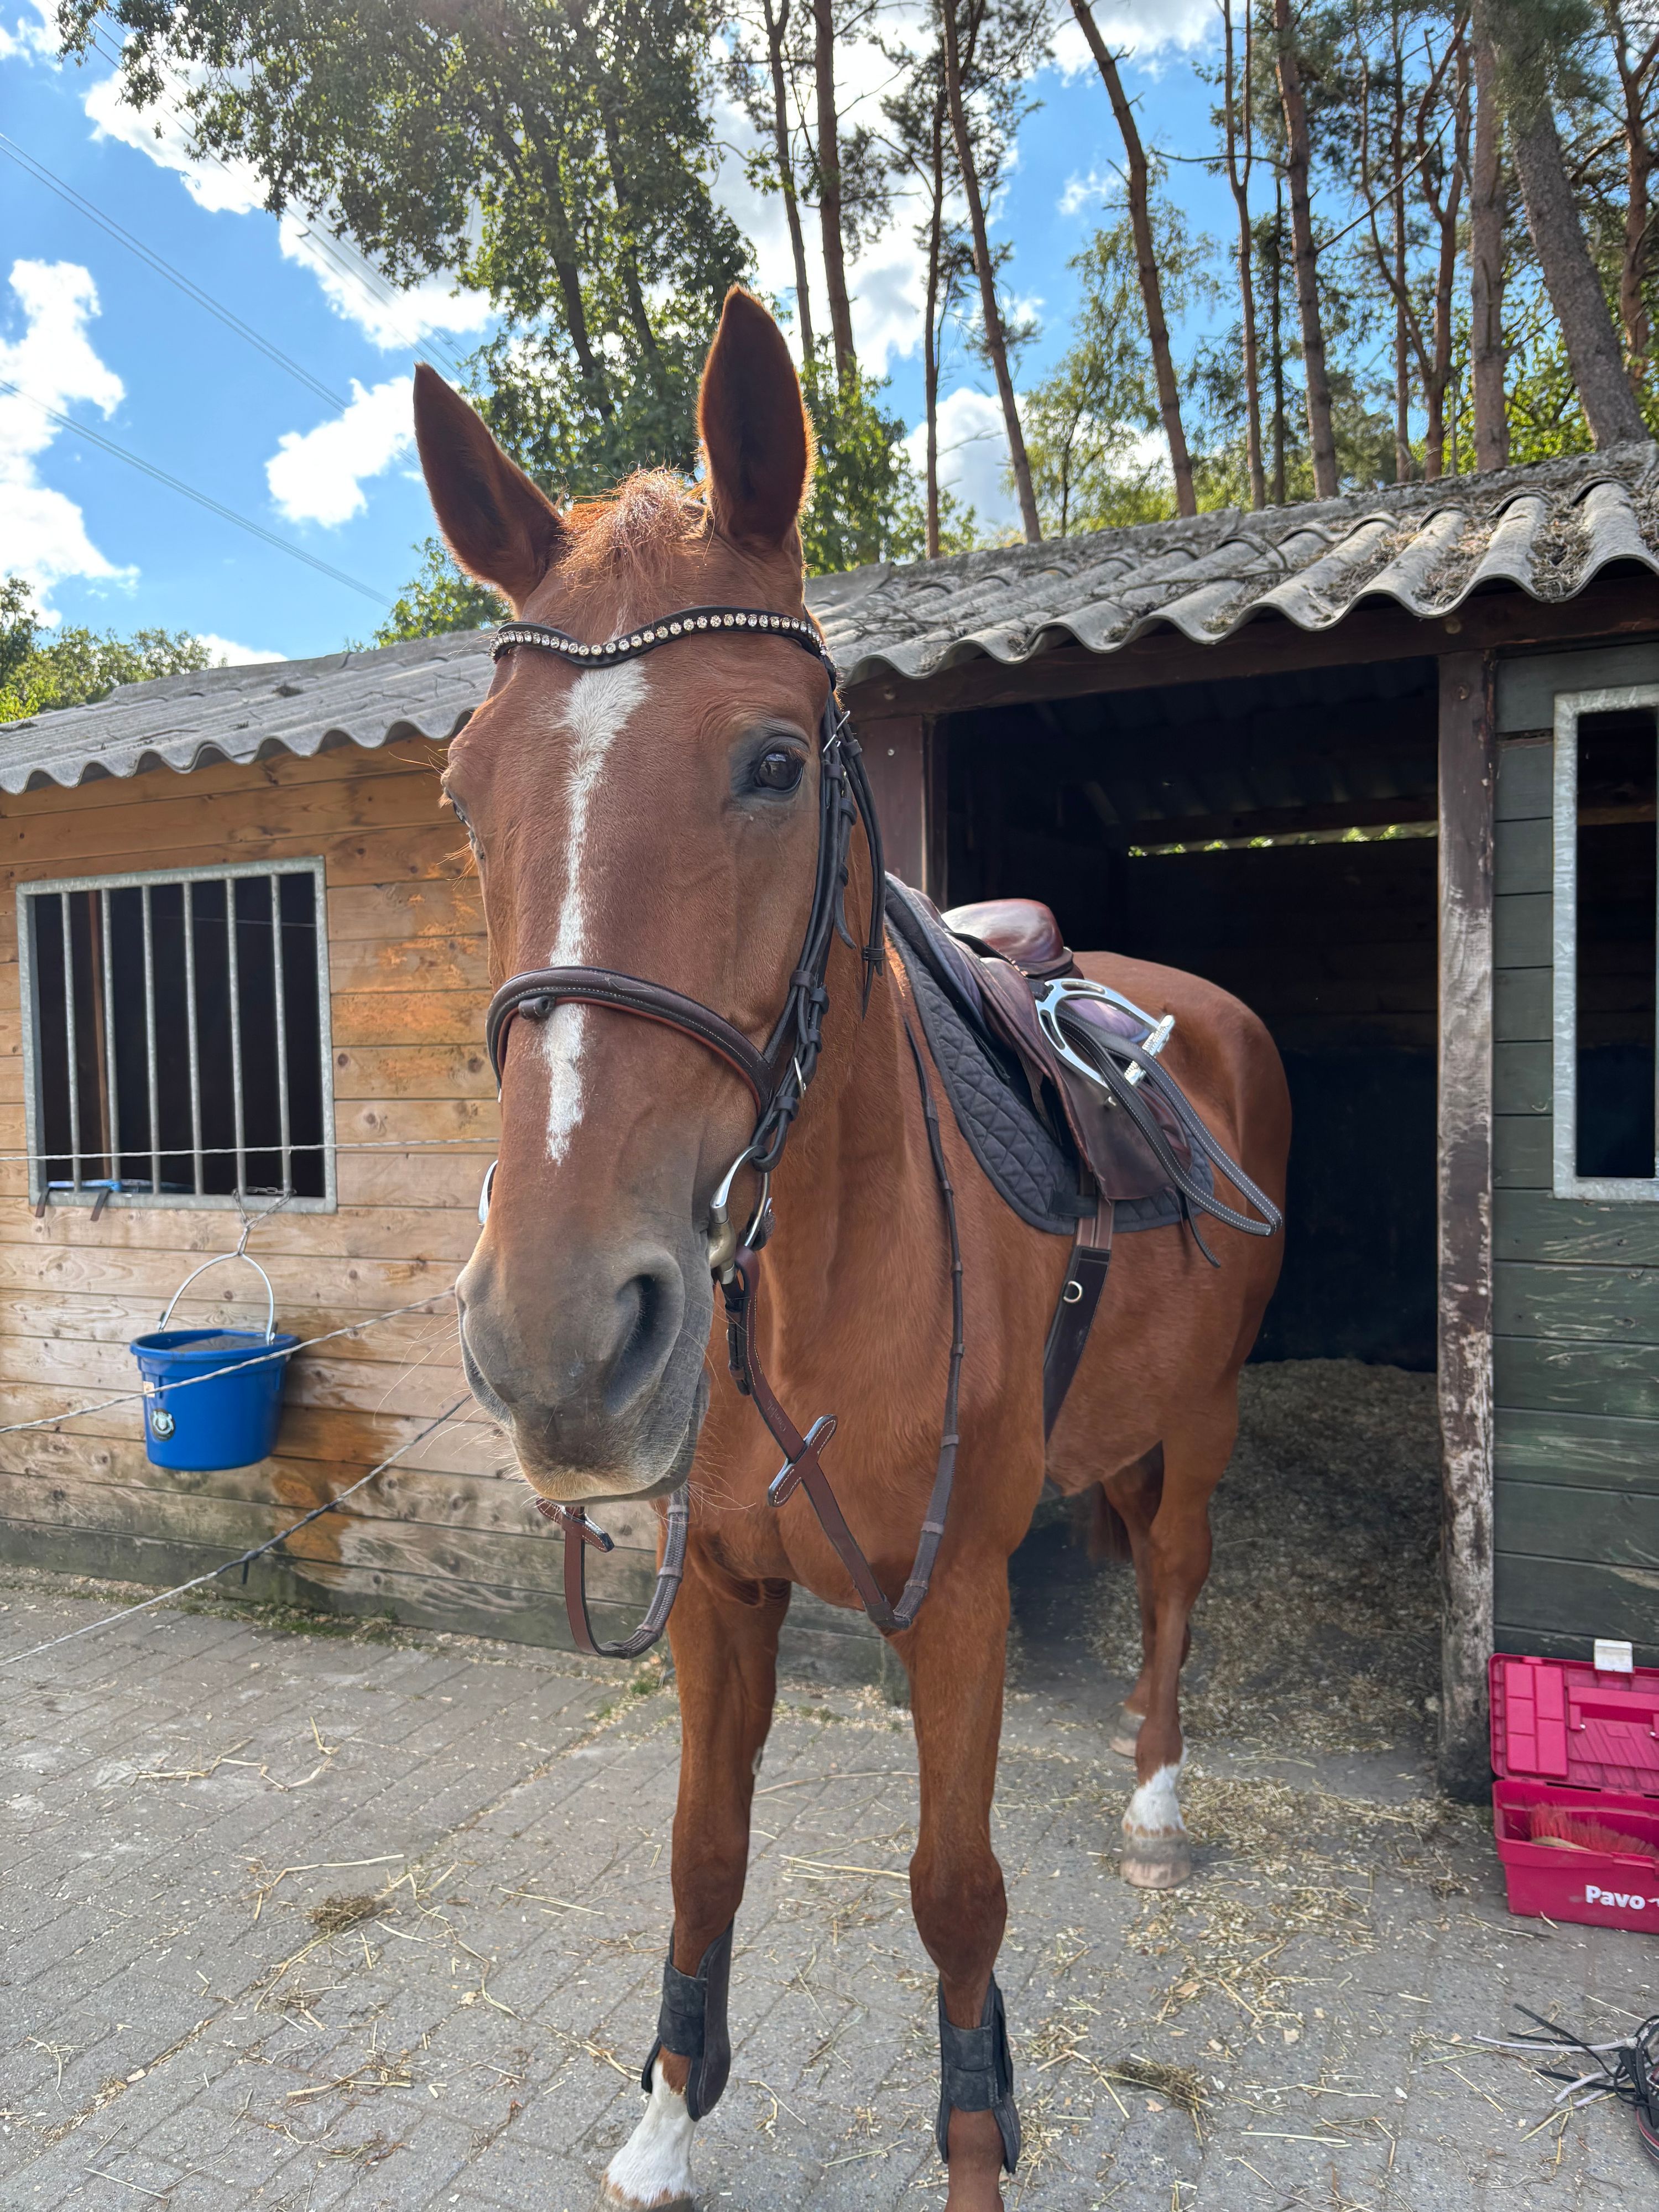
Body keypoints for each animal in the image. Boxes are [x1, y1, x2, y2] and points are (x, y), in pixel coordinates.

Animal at [413, 286, 1290, 2212]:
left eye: (773, 761)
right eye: (465, 791)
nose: (560, 1345)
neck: (808, 1289)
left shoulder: (953, 1601)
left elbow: (955, 1901)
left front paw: (975, 2149)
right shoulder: (721, 1599)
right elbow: (701, 1860)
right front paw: (670, 2110)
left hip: (1204, 1415)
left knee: (1177, 1576)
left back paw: (1157, 1794)